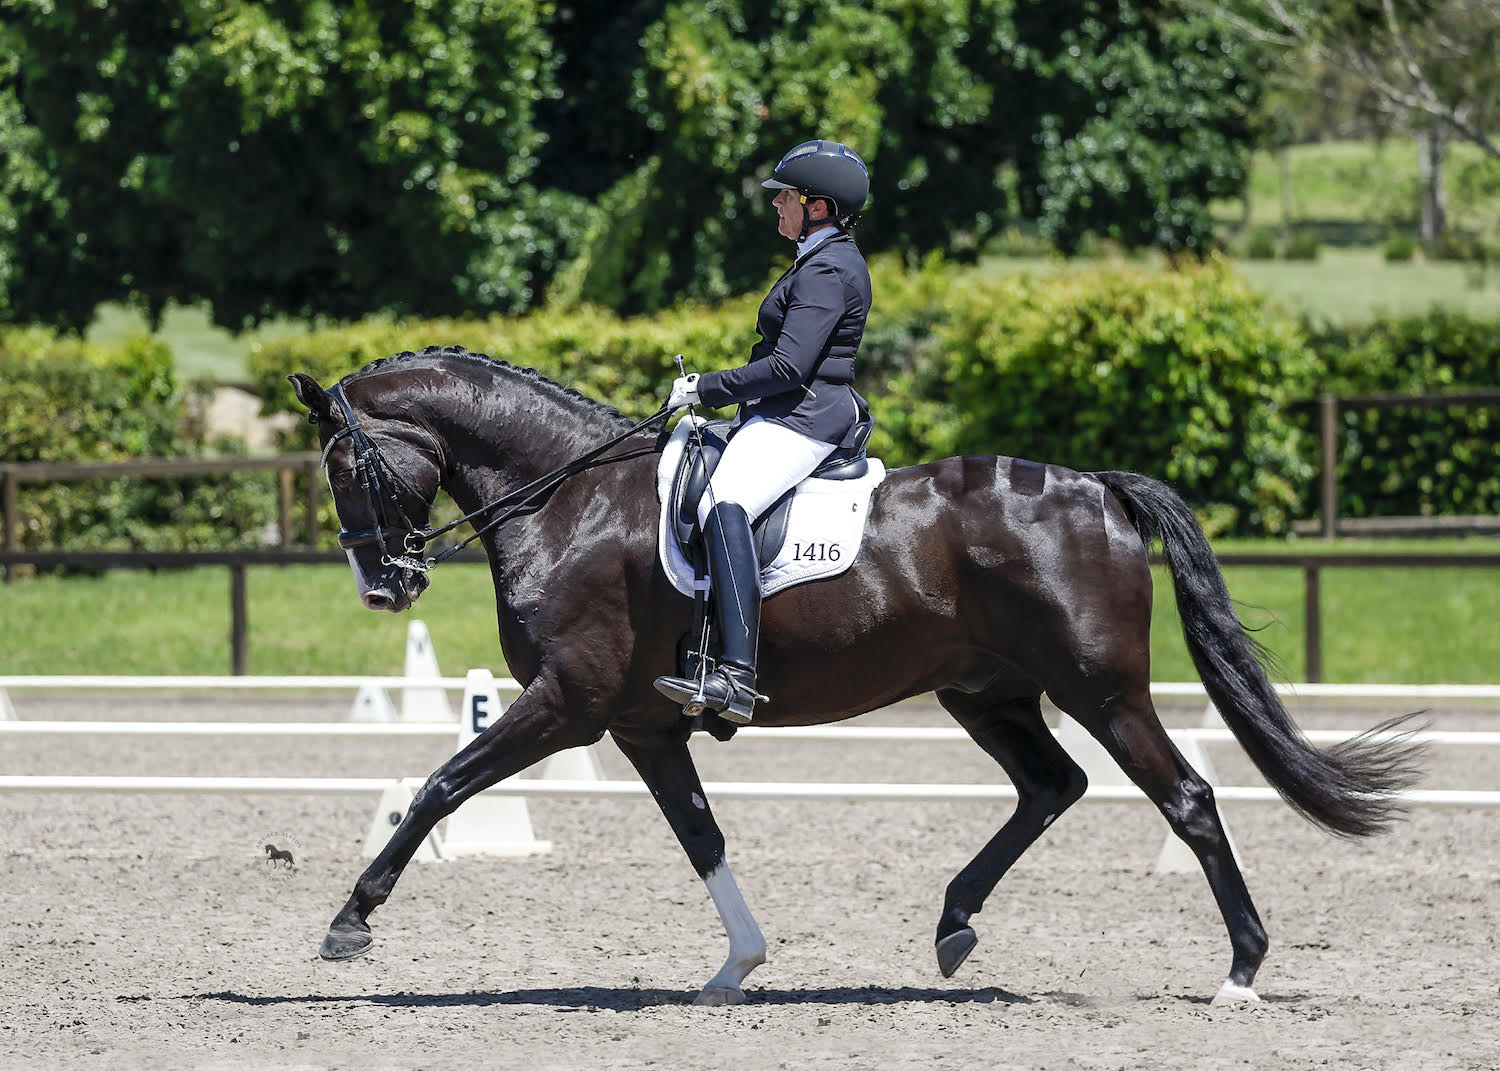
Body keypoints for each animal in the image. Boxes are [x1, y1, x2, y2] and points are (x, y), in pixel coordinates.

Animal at [289, 346, 1416, 1008]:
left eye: (345, 468)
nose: (384, 586)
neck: (568, 499)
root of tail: (1098, 488)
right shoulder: (641, 725)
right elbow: (700, 835)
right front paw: (737, 966)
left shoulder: (566, 704)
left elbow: (441, 783)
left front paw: (350, 922)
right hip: (987, 691)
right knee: (1053, 785)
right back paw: (955, 924)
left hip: (1101, 690)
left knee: (1185, 797)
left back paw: (1242, 970)